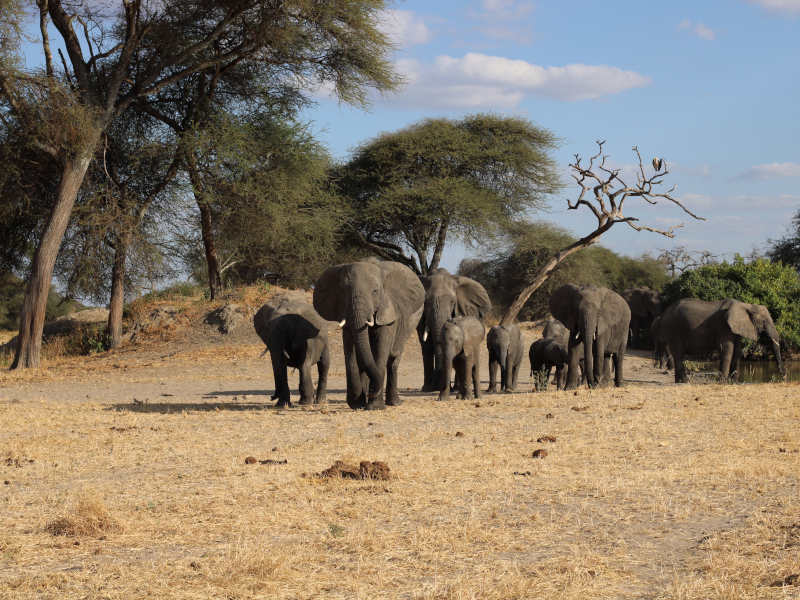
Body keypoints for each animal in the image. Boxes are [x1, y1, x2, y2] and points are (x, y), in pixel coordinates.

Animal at [312, 256, 424, 408]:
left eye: (375, 291)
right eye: (343, 291)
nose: (372, 393)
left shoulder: (388, 311)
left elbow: (381, 346)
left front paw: (375, 406)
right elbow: (351, 347)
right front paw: (357, 403)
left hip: (412, 321)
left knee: (393, 358)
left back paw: (394, 403)